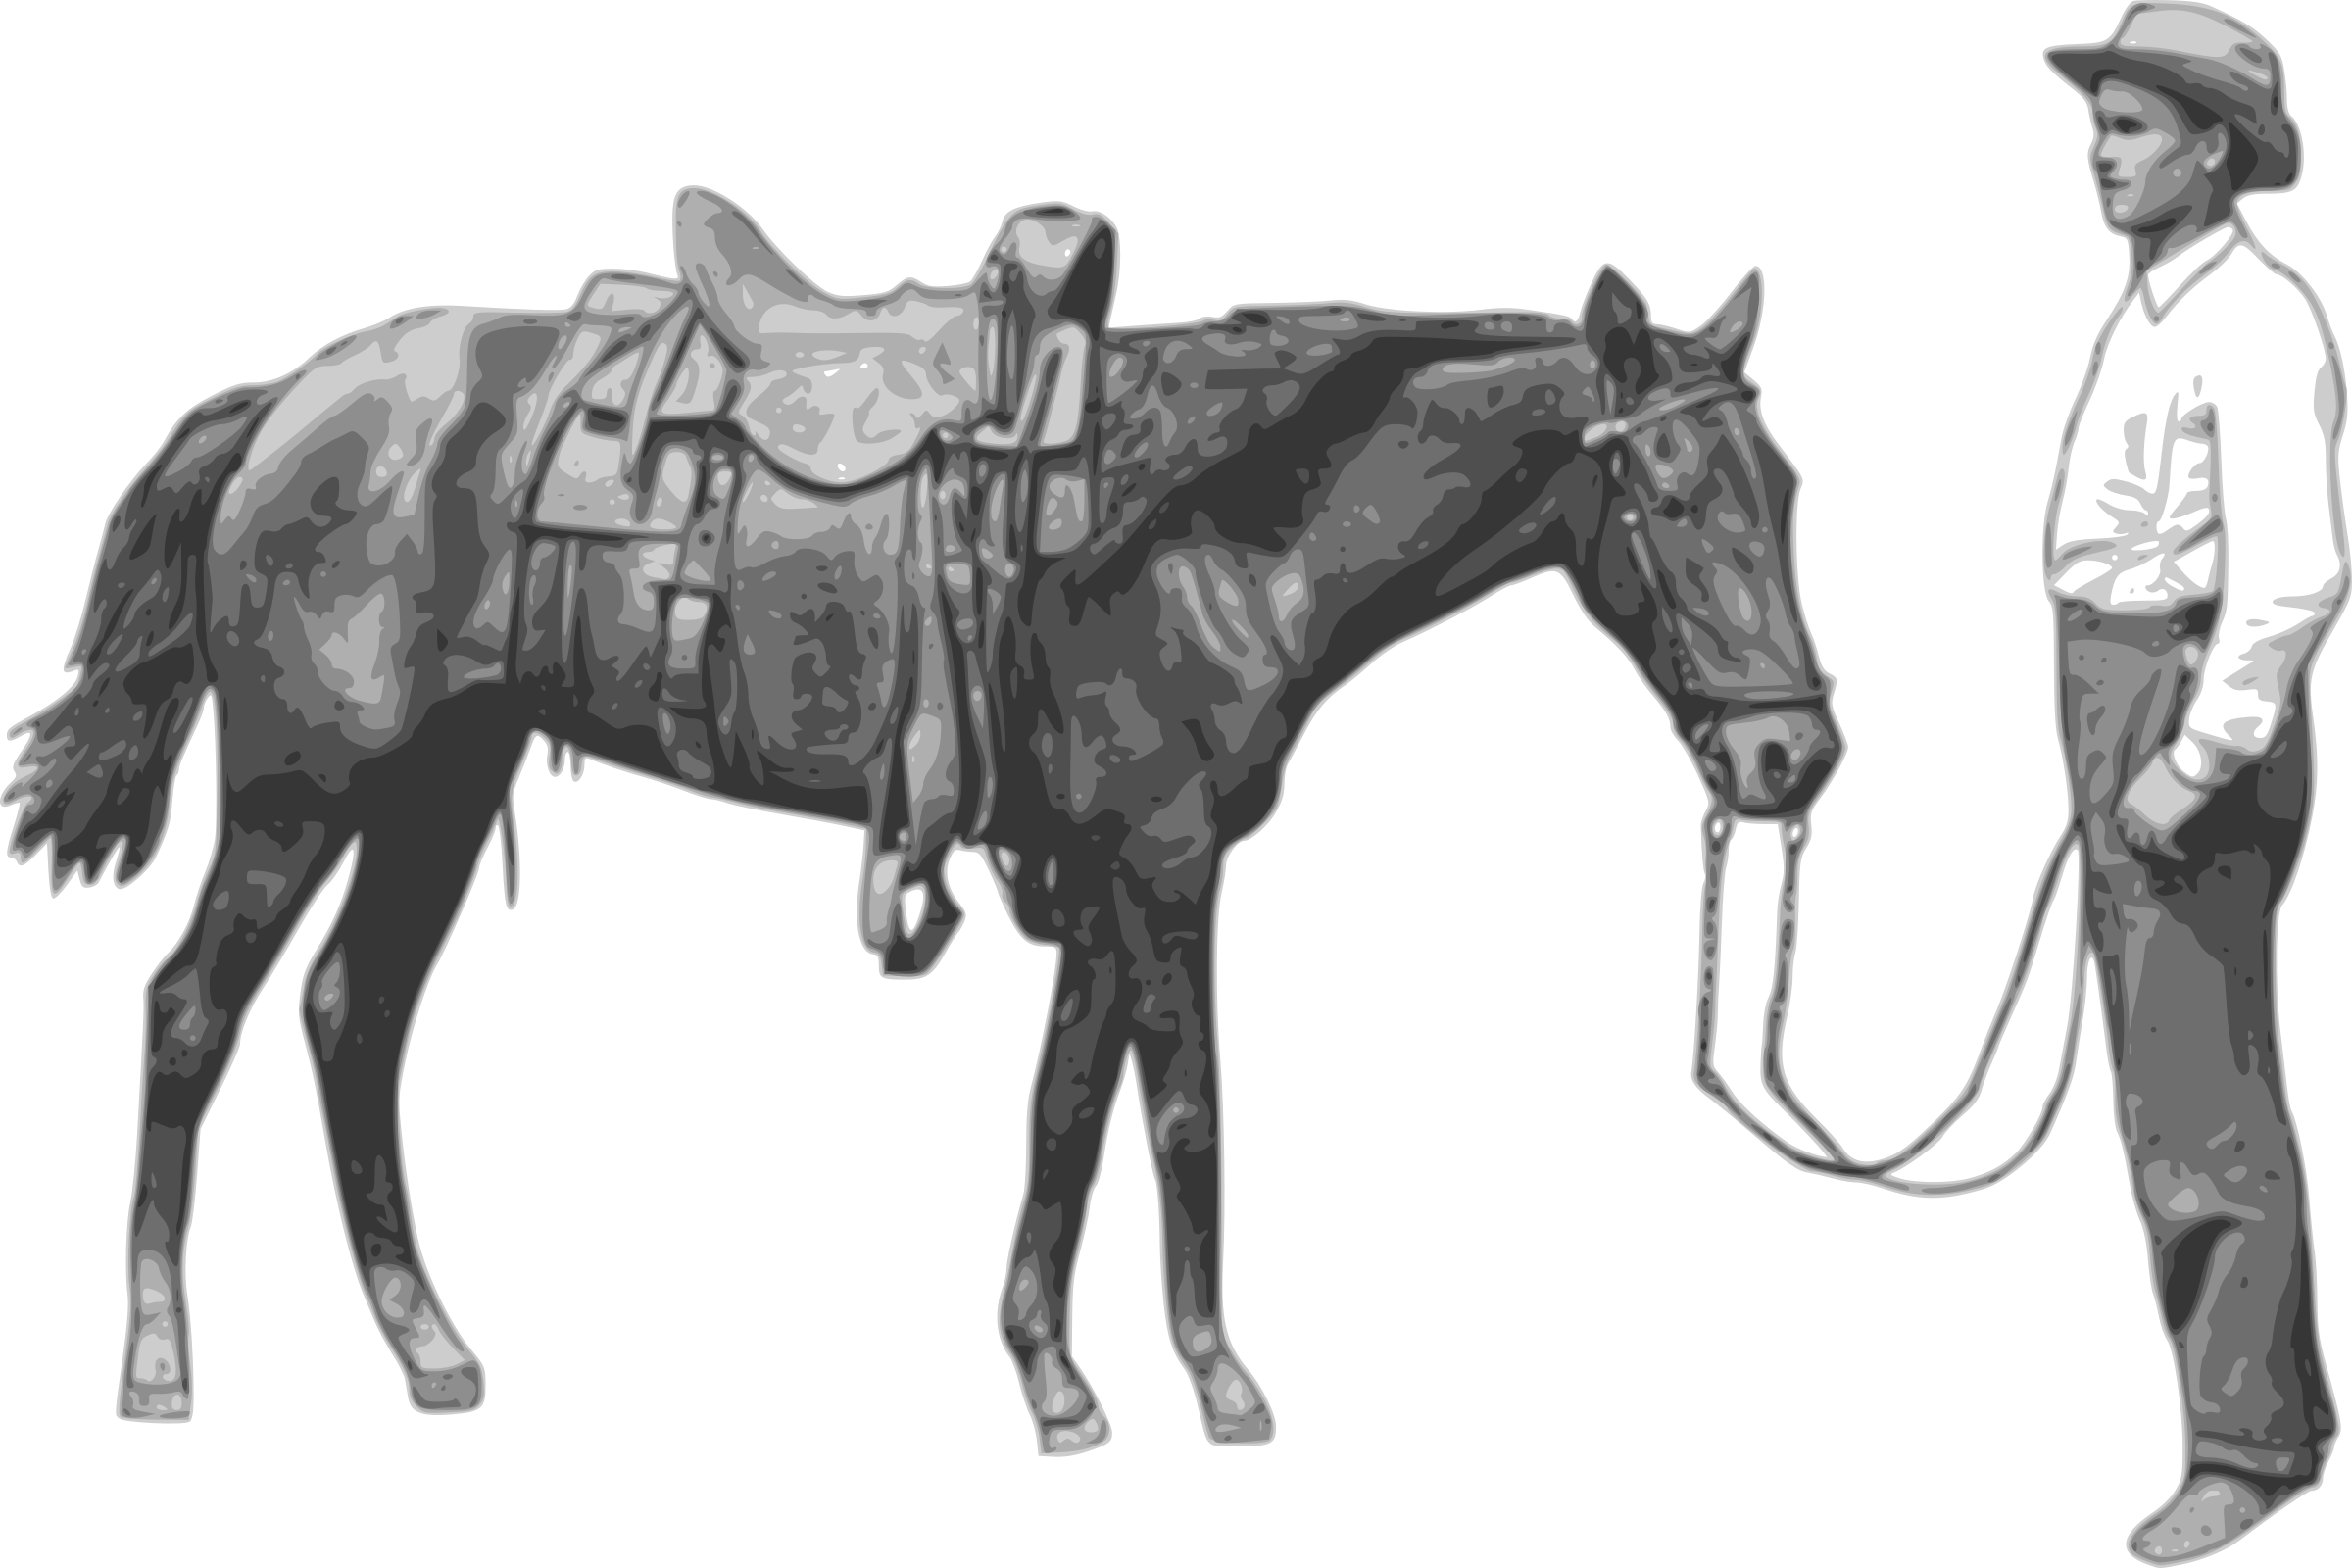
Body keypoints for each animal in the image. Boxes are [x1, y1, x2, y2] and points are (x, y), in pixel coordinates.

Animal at [7, 187, 1842, 1446]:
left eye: (1787, 490)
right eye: (1669, 492)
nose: (1793, 764)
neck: (1197, 519)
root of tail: (291, 395)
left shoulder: (1102, 870)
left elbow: (1066, 1115)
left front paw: (1053, 1377)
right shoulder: (1168, 869)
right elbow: (1187, 1116)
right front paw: (1221, 1386)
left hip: (441, 789)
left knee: (350, 1017)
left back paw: (427, 1345)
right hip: (299, 794)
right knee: (193, 1014)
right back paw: (160, 1359)